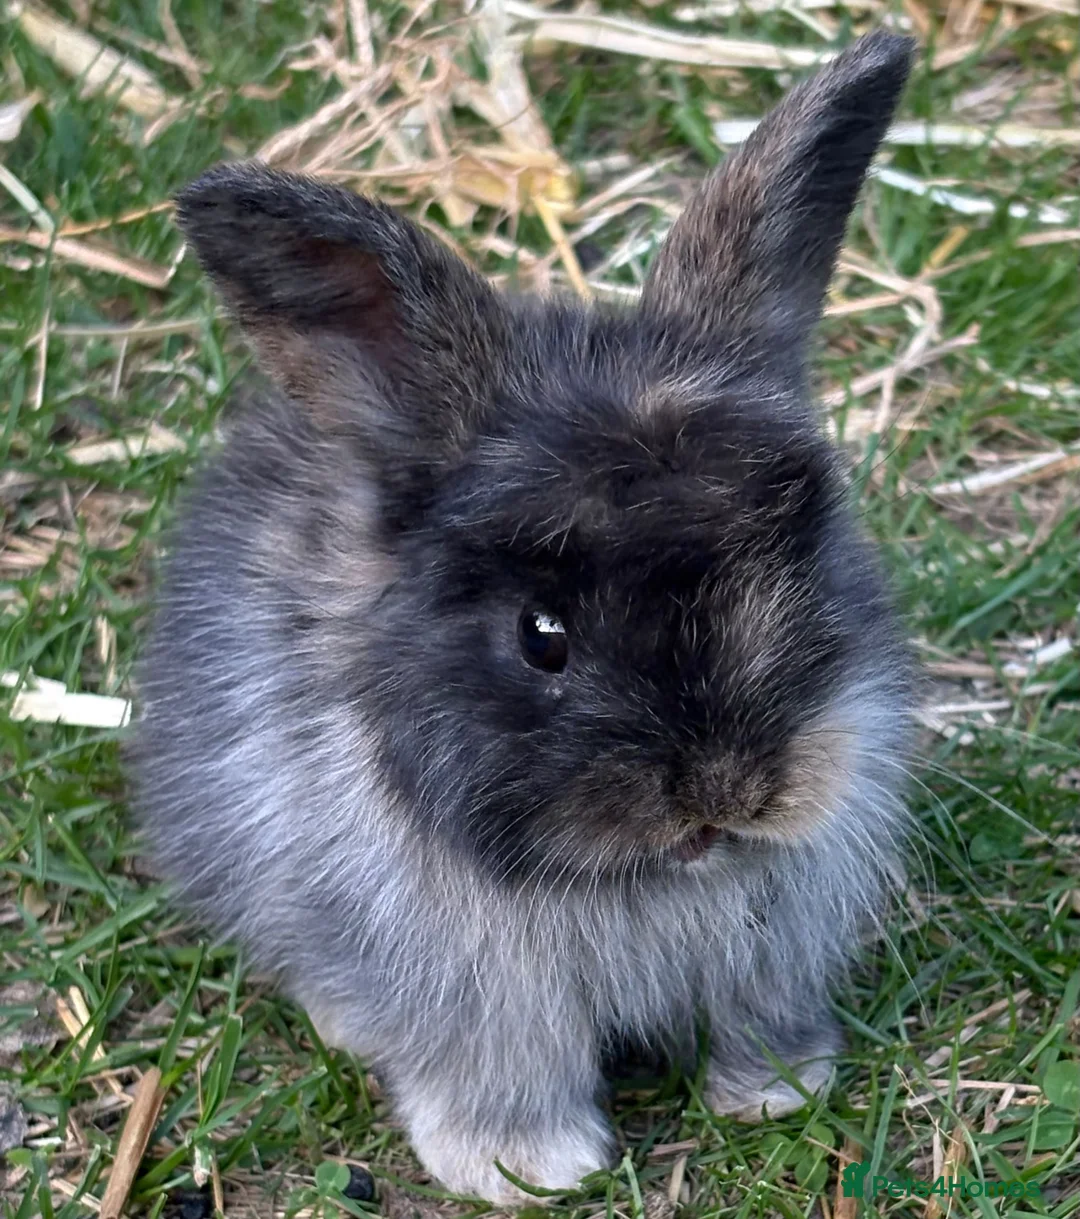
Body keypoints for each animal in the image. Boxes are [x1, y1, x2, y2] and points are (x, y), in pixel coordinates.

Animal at [131, 30, 917, 1204]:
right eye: (541, 636)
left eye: (801, 557)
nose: (727, 794)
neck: (650, 880)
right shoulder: (478, 1001)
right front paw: (526, 1168)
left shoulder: (767, 953)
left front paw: (778, 1089)